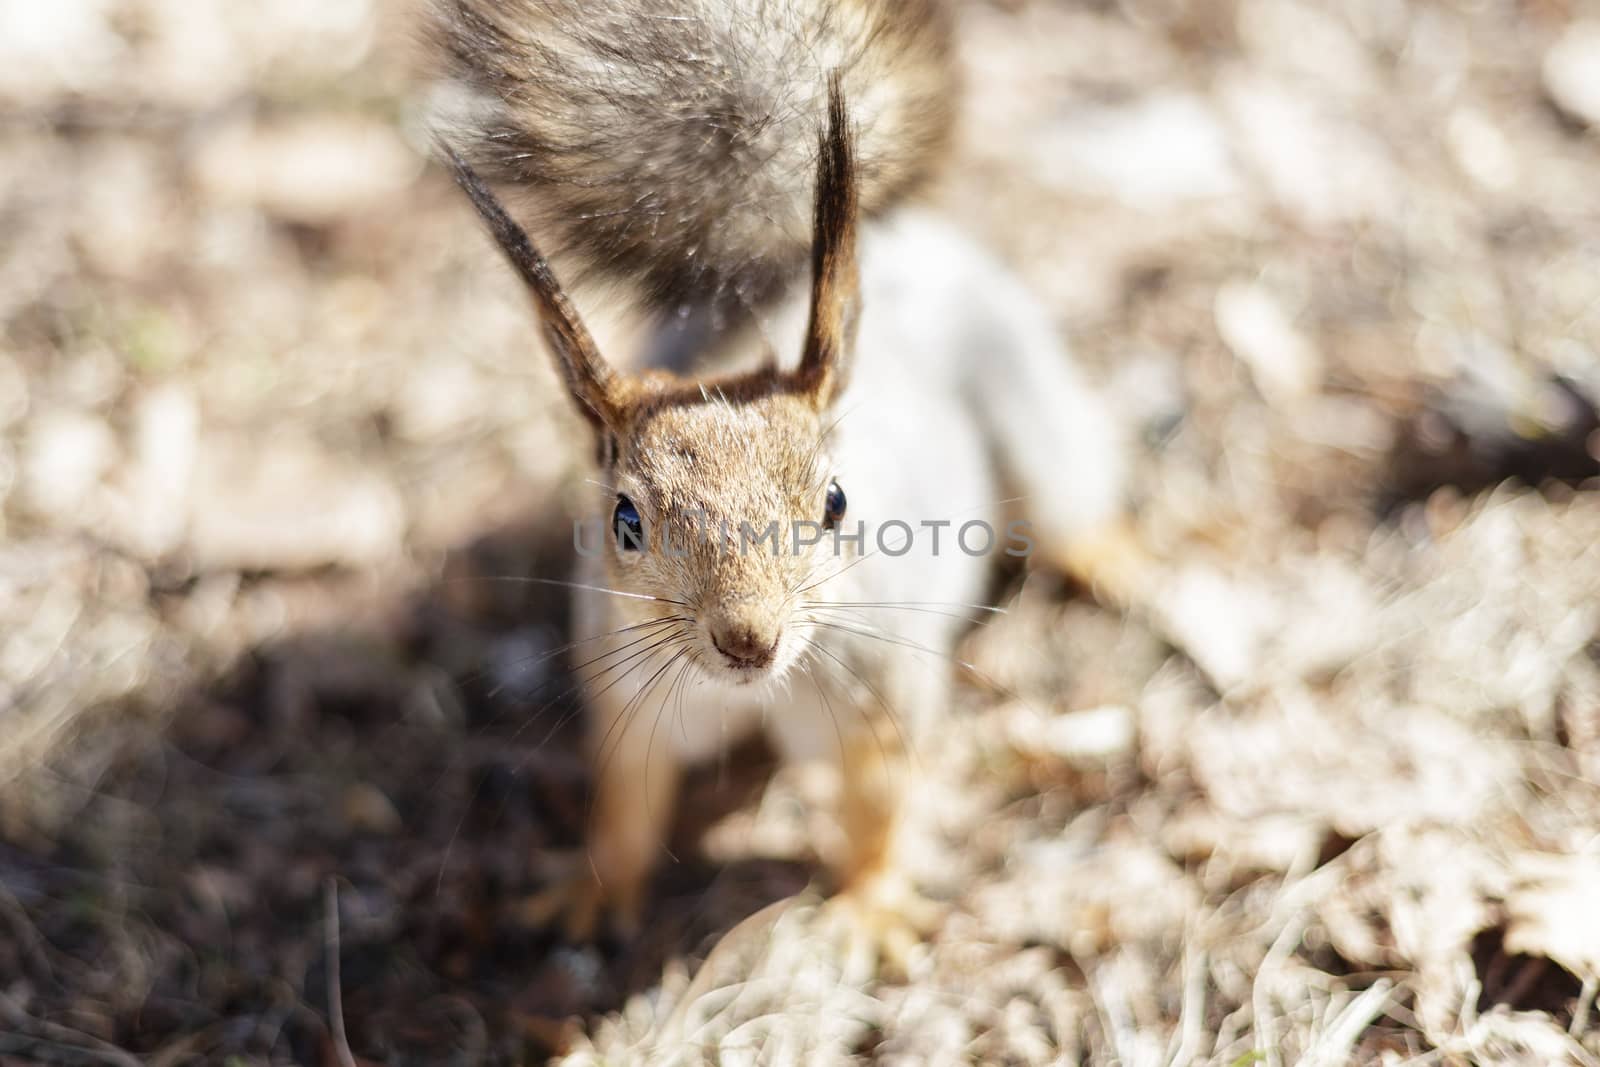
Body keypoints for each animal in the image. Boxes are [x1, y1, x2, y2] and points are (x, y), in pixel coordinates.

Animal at [432, 0, 1145, 966]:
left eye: (837, 502)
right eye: (624, 521)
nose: (748, 640)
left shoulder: (878, 692)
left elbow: (878, 804)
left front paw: (871, 904)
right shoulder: (632, 702)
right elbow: (624, 804)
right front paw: (596, 888)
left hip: (1024, 388)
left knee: (1069, 499)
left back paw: (1118, 557)